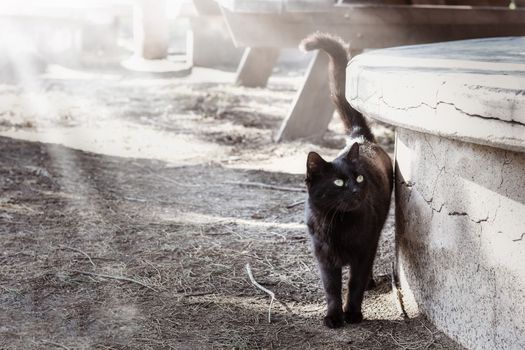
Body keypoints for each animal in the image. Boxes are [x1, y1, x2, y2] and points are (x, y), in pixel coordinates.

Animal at [300, 32, 390, 328]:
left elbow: (355, 283)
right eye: (338, 183)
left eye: (359, 177)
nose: (355, 190)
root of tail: (359, 138)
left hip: (378, 229)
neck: (338, 224)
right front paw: (333, 316)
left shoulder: (363, 251)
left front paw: (352, 313)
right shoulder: (324, 257)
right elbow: (331, 288)